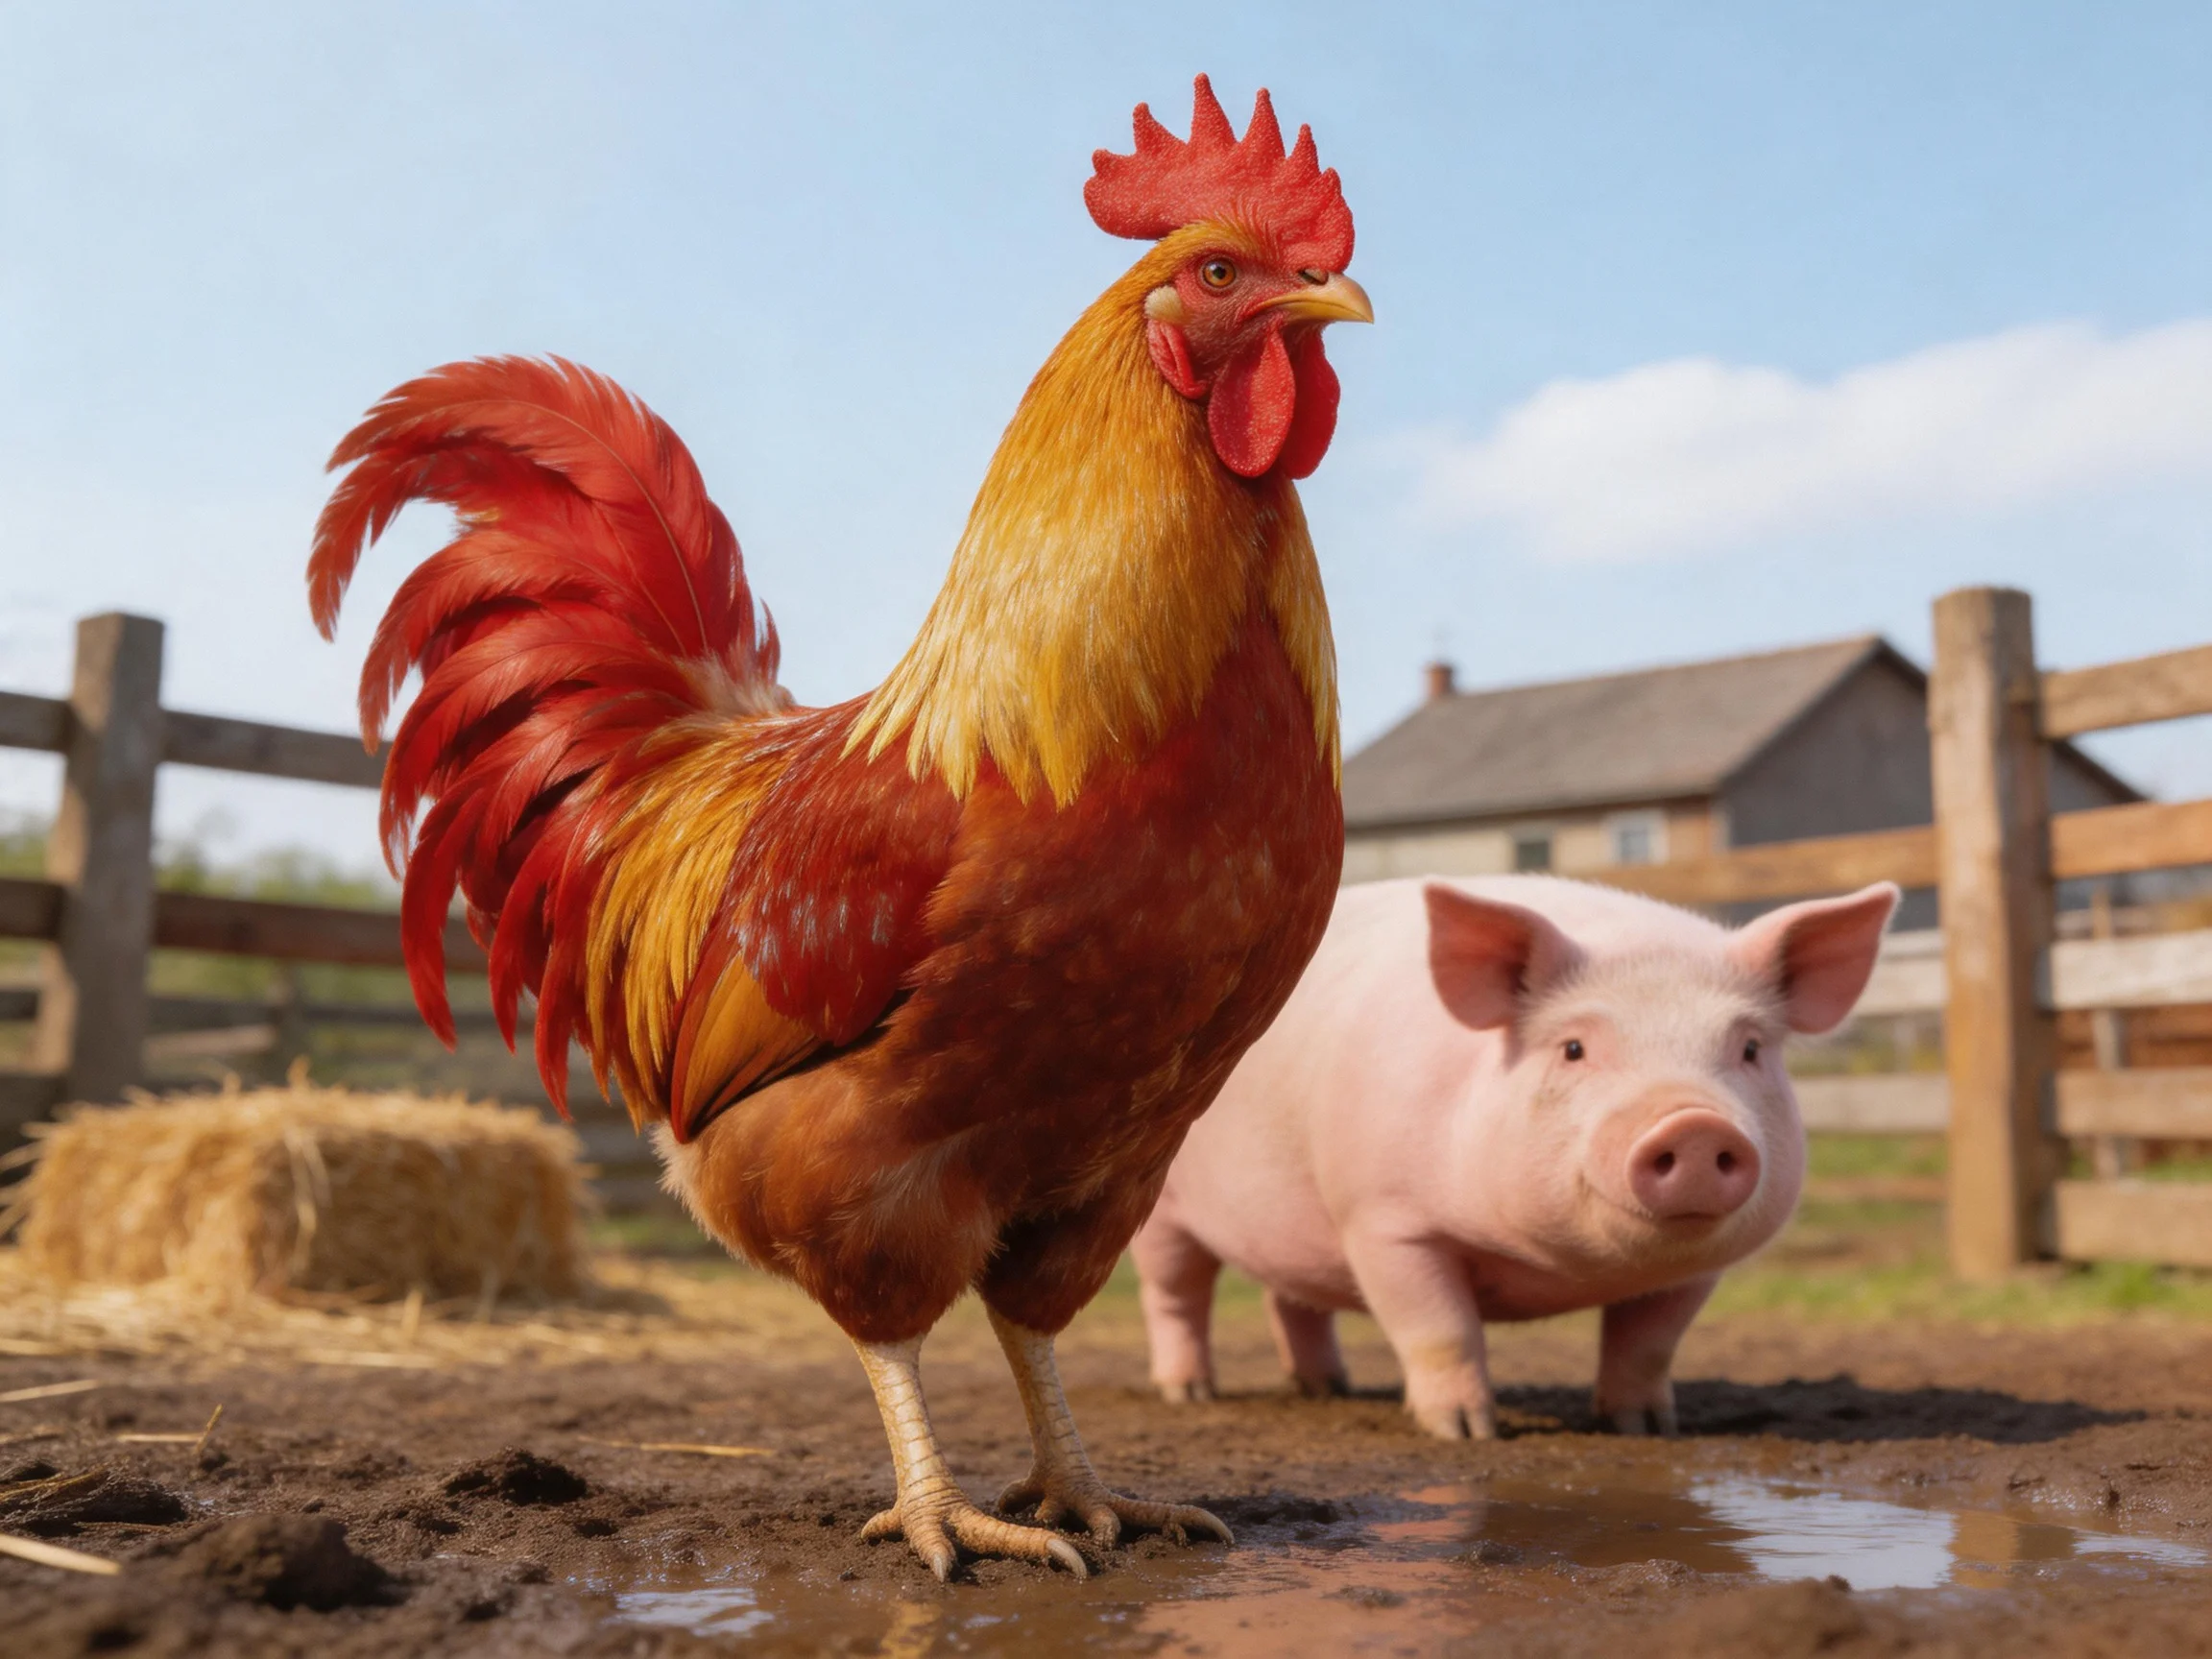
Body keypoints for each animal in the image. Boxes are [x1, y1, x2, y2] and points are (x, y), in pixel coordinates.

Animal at [1132, 874, 1898, 1438]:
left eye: (1750, 1049)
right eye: (1575, 1048)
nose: (1694, 1124)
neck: (1563, 1271)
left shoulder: (1695, 1271)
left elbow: (1649, 1342)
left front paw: (1645, 1428)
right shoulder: (1384, 1222)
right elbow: (1439, 1328)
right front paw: (1466, 1433)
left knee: (1291, 1297)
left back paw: (1326, 1388)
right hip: (1163, 1209)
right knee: (1176, 1295)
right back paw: (1190, 1395)